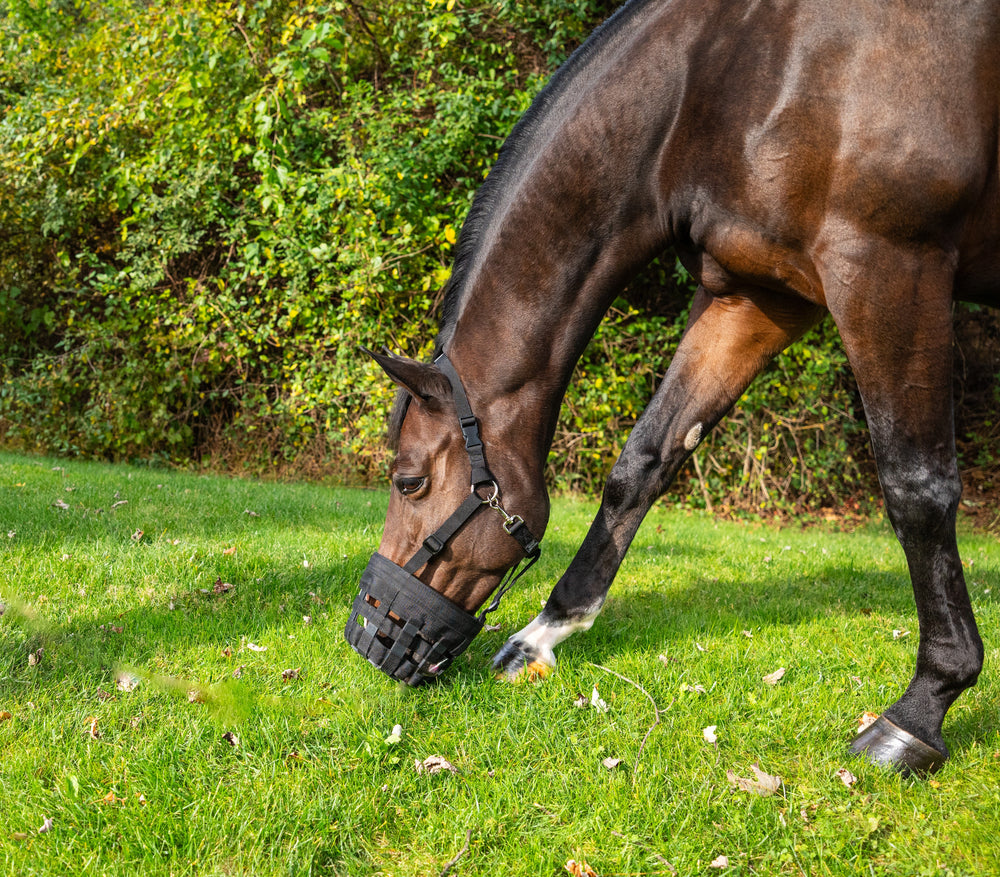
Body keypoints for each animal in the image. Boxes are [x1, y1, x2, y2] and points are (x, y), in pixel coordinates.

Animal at [345, 0, 1000, 776]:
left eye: (409, 481)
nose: (372, 636)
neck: (731, 77)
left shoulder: (888, 265)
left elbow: (916, 488)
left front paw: (923, 707)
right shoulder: (756, 295)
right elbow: (644, 462)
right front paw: (544, 633)